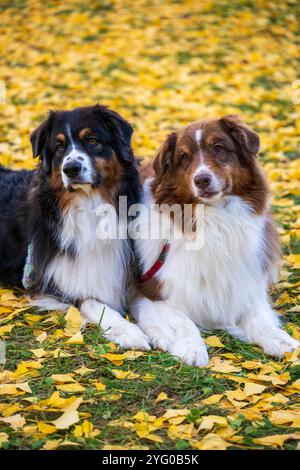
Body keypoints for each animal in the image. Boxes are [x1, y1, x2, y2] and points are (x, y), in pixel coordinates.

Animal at [0, 104, 150, 350]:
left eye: (91, 140)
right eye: (59, 147)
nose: (70, 168)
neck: (89, 205)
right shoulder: (48, 278)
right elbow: (93, 301)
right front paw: (128, 331)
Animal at [130, 115, 298, 366]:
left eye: (218, 148)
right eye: (184, 157)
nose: (202, 180)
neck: (214, 220)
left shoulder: (245, 286)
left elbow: (260, 319)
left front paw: (280, 339)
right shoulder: (153, 293)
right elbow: (184, 321)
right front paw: (191, 347)